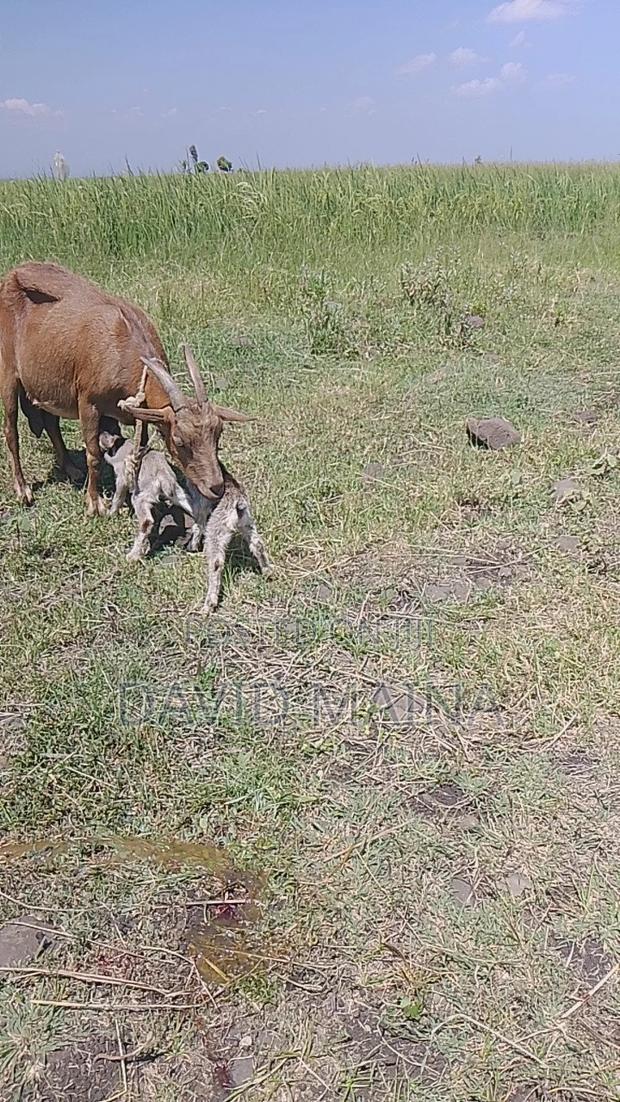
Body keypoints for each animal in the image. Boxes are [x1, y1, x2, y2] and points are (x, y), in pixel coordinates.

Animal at [0, 262, 249, 515]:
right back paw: (23, 490)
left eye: (218, 433)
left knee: (51, 421)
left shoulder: (140, 412)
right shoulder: (88, 402)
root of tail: (13, 274)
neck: (122, 348)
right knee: (11, 430)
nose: (216, 487)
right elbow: (93, 454)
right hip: (8, 371)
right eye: (179, 440)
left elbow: (140, 450)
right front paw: (94, 503)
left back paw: (70, 468)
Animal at [99, 431, 273, 613]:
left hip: (215, 531)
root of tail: (237, 502)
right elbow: (197, 524)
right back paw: (267, 571)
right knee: (257, 544)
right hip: (247, 523)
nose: (103, 433)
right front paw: (192, 545)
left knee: (215, 562)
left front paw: (111, 513)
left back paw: (208, 603)